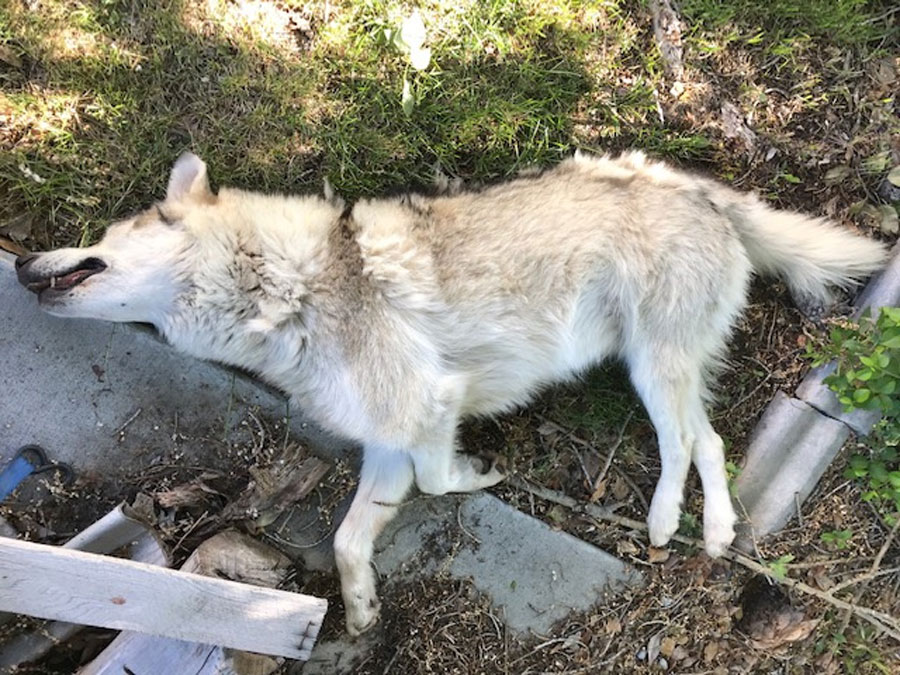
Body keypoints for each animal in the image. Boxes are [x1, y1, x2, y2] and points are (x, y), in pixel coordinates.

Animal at [16, 151, 887, 635]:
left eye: (99, 240)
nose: (21, 263)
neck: (282, 295)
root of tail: (703, 190)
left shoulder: (430, 406)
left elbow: (439, 478)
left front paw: (481, 475)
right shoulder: (388, 444)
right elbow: (347, 541)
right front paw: (361, 608)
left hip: (651, 365)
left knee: (690, 441)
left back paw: (677, 523)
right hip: (659, 367)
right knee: (706, 438)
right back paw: (701, 527)